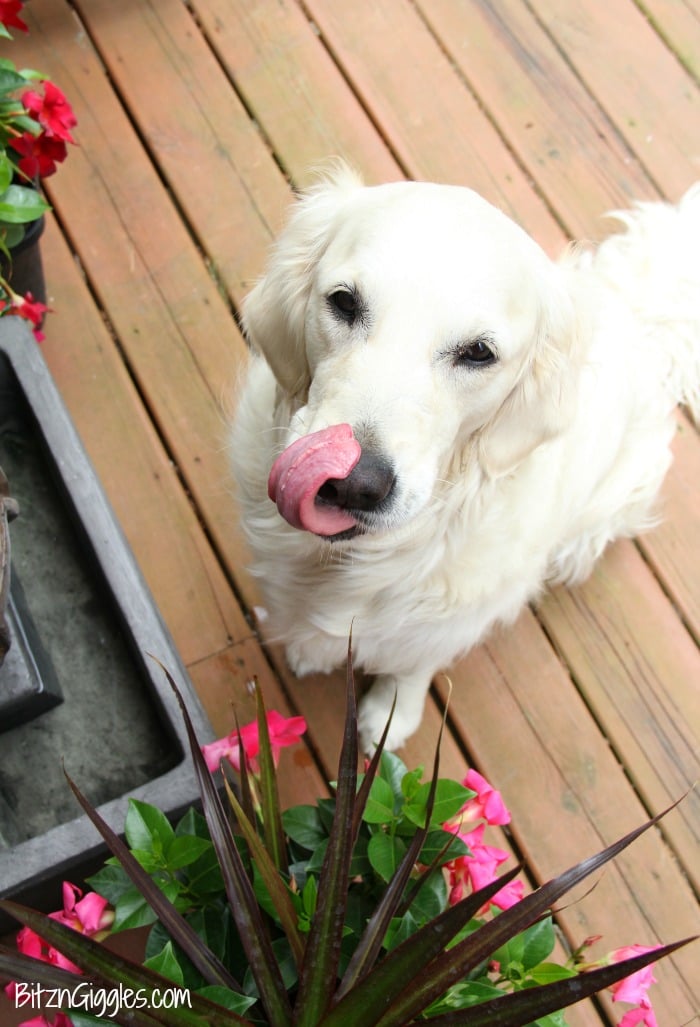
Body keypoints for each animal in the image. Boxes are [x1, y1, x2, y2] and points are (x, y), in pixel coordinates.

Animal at [231, 164, 697, 751]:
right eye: (343, 302)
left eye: (478, 352)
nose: (353, 483)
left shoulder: (449, 620)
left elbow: (412, 665)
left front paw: (389, 716)